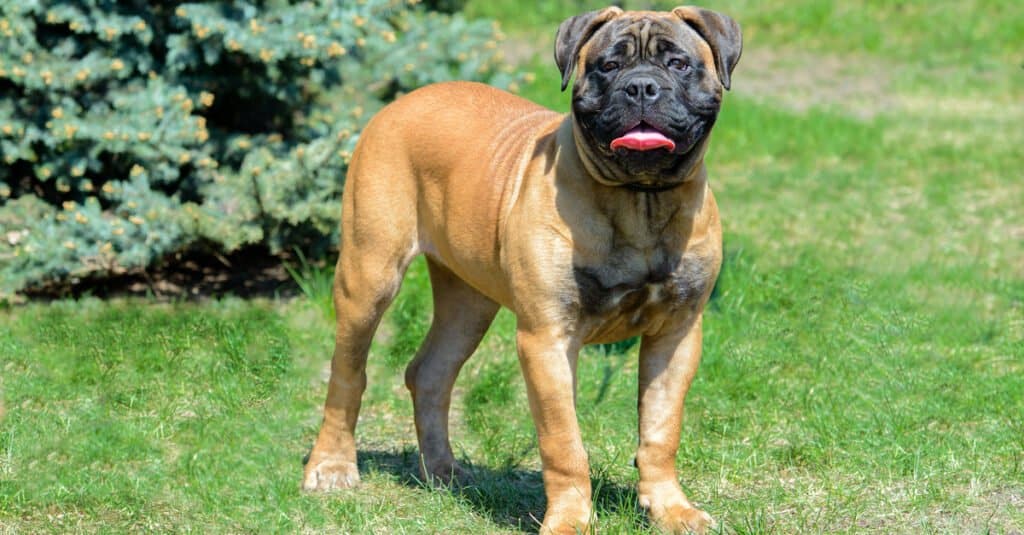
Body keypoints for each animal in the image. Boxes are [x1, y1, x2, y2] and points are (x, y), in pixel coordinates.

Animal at [299, 5, 741, 532]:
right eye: (608, 66)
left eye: (677, 63)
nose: (640, 87)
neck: (640, 199)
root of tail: (401, 101)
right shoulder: (547, 340)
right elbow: (563, 442)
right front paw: (570, 519)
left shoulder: (677, 334)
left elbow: (660, 430)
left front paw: (671, 509)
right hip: (369, 276)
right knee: (347, 374)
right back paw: (332, 466)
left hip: (468, 302)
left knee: (430, 372)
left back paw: (443, 471)